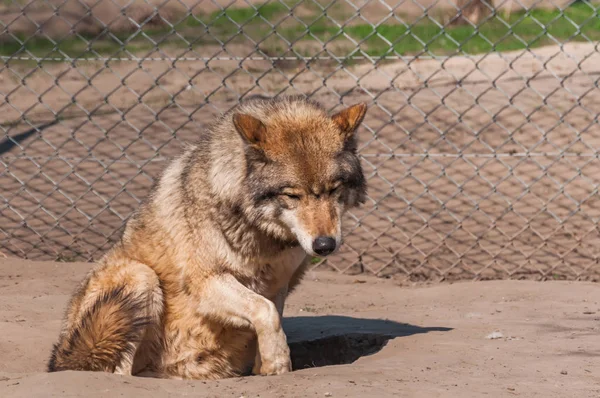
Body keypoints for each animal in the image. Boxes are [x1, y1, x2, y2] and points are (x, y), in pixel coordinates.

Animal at [47, 94, 368, 380]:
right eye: (292, 195)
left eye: (334, 189)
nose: (324, 245)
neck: (261, 234)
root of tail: (60, 358)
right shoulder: (206, 283)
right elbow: (265, 312)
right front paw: (277, 364)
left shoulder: (278, 284)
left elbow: (271, 318)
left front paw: (262, 367)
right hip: (140, 277)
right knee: (118, 371)